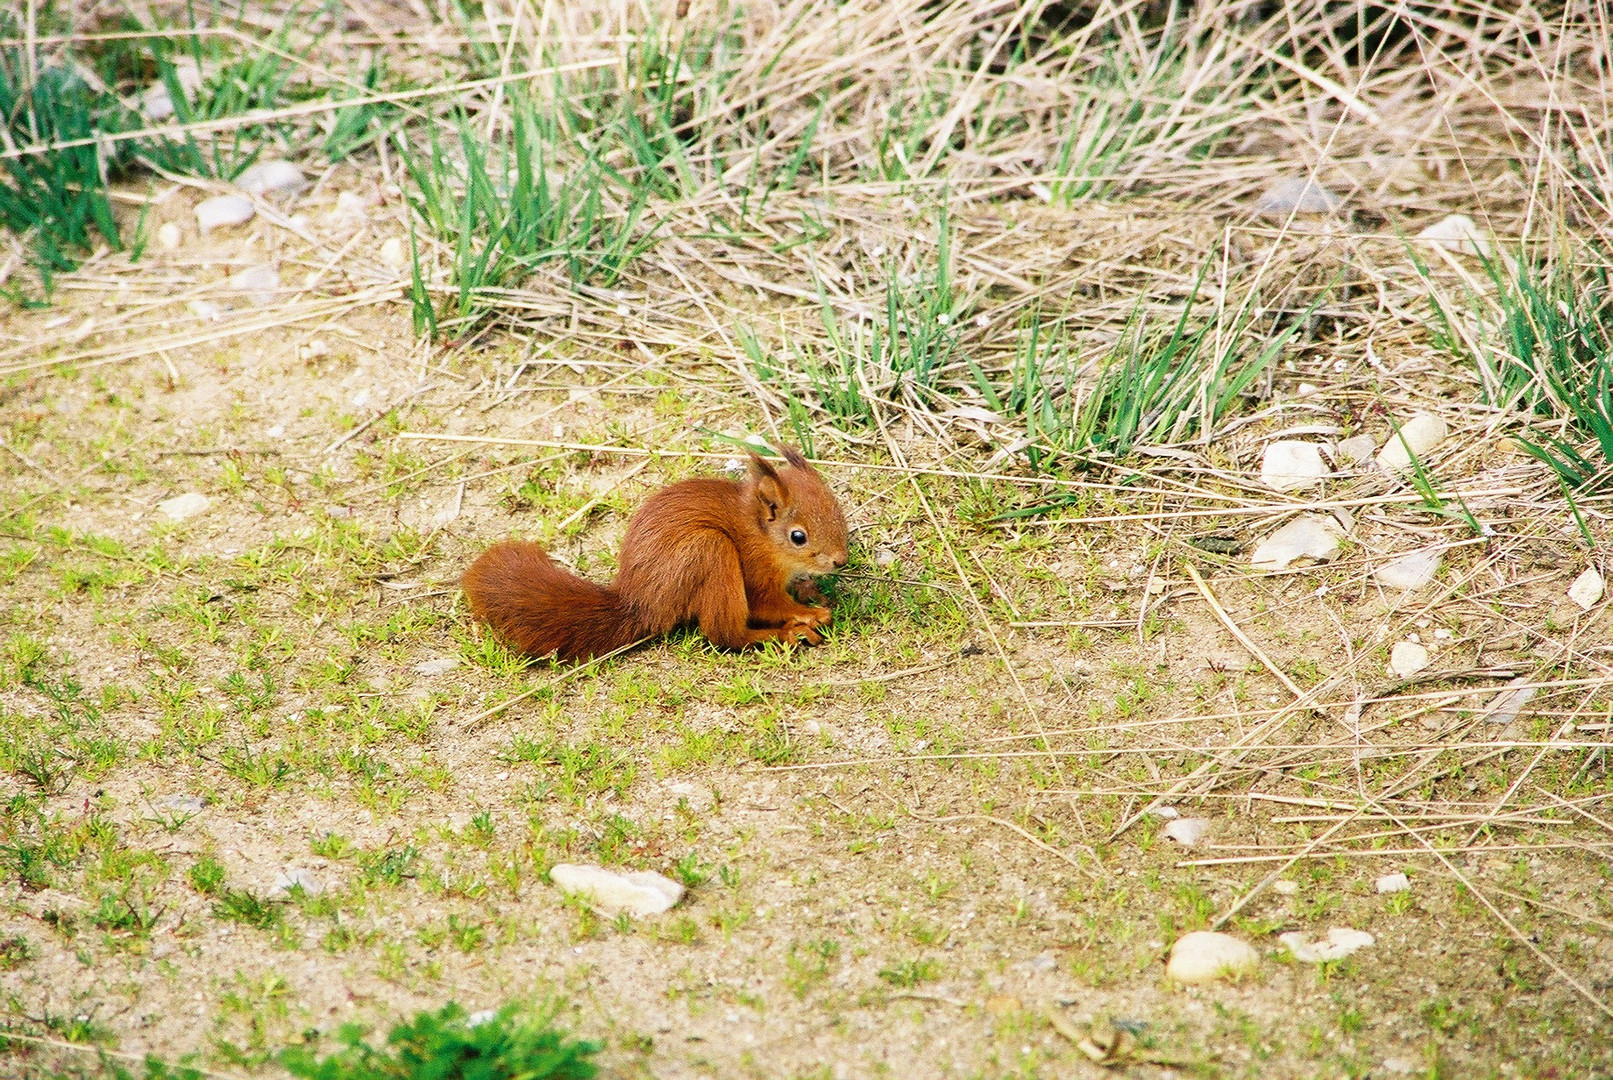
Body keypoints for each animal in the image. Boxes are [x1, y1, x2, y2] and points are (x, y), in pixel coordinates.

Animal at [461, 444, 851, 664]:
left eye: (838, 510)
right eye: (798, 537)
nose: (840, 560)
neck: (760, 533)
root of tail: (641, 603)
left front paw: (809, 590)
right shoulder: (754, 570)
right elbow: (766, 604)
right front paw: (809, 613)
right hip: (708, 551)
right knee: (724, 634)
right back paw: (782, 635)